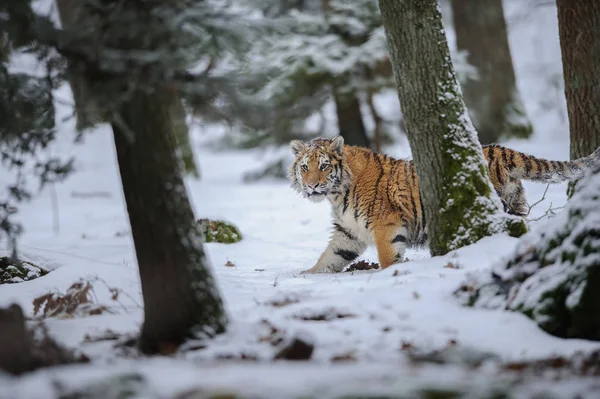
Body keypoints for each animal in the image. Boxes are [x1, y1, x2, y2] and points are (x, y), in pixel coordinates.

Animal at [288, 136, 600, 274]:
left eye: (324, 166)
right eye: (305, 167)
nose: (312, 185)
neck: (337, 194)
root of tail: (501, 149)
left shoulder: (386, 224)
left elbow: (388, 257)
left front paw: (388, 274)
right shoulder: (348, 233)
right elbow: (329, 257)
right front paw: (307, 275)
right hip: (516, 205)